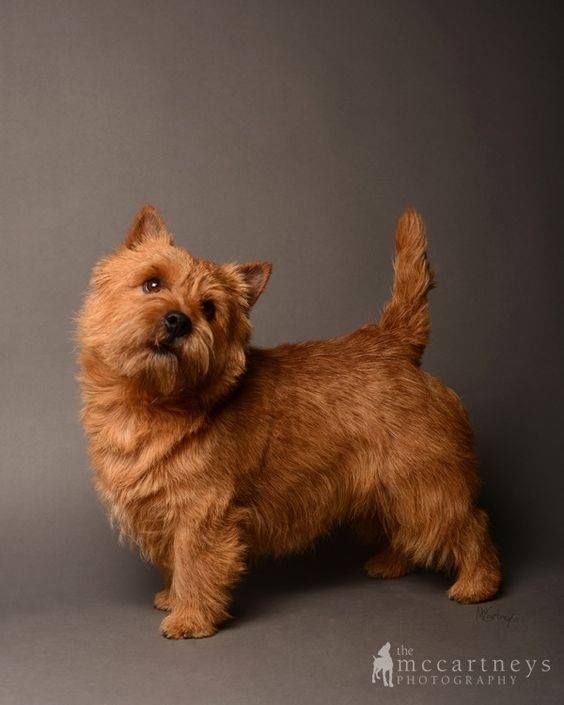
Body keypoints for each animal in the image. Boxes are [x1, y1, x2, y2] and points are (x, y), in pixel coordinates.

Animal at [77, 204, 500, 640]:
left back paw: (478, 585)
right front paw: (172, 597)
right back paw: (391, 564)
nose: (179, 320)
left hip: (423, 481)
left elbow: (195, 564)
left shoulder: (201, 512)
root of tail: (393, 343)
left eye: (209, 308)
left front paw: (189, 617)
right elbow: (174, 560)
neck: (152, 402)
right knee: (406, 527)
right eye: (152, 283)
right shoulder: (162, 508)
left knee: (470, 523)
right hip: (389, 487)